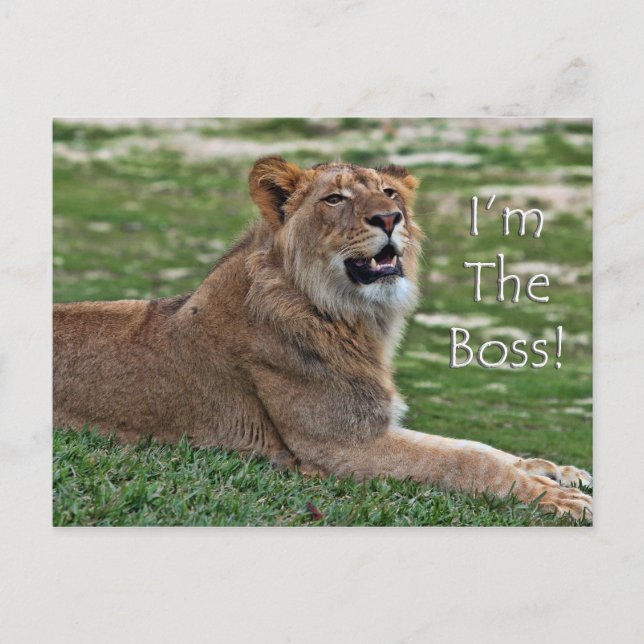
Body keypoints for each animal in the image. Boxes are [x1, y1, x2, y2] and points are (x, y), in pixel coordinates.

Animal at [53, 156, 592, 519]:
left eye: (389, 193)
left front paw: (552, 469)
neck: (353, 319)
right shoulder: (337, 447)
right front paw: (557, 498)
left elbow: (472, 446)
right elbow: (461, 463)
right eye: (336, 199)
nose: (389, 218)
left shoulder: (370, 424)